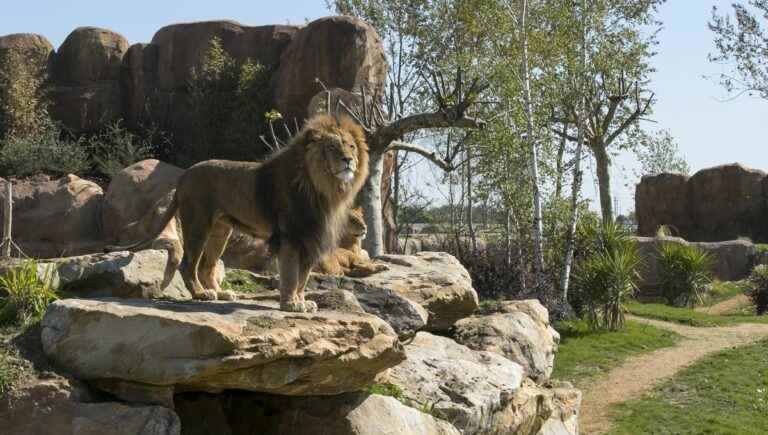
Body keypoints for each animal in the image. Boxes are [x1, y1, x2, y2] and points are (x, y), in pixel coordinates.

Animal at [115, 115, 374, 314]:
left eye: (351, 146)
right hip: (198, 224)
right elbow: (291, 274)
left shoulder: (311, 238)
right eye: (332, 147)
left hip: (221, 231)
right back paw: (201, 294)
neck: (324, 188)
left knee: (206, 265)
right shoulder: (290, 237)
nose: (348, 160)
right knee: (188, 263)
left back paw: (221, 293)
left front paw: (302, 301)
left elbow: (303, 277)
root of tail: (183, 177)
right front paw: (290, 304)